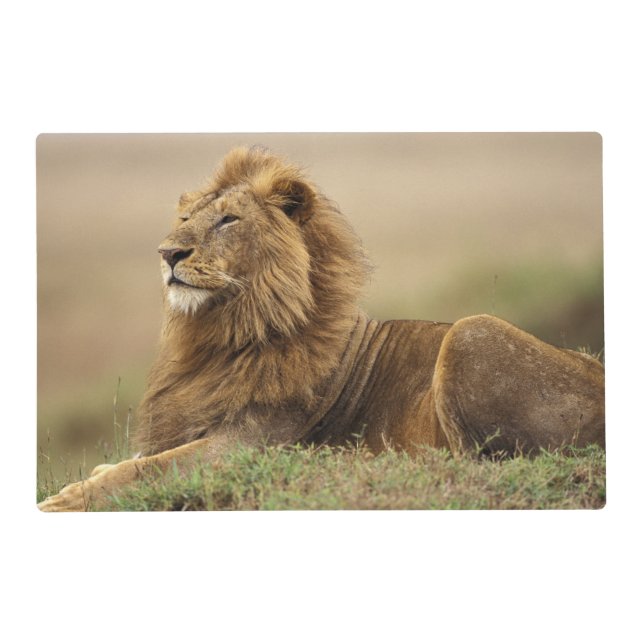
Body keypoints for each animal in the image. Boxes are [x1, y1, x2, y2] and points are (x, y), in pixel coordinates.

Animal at [38, 146, 605, 511]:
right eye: (184, 219)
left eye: (227, 220)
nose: (167, 253)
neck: (222, 335)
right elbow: (128, 463)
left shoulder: (247, 446)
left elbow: (144, 470)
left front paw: (62, 499)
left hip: (471, 331)